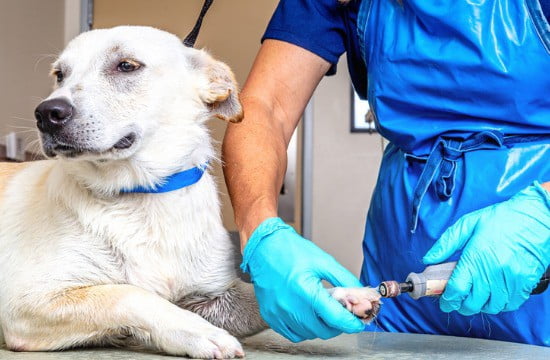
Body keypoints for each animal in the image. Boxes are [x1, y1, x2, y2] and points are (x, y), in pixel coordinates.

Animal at [0, 26, 380, 358]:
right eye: (59, 75)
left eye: (126, 65)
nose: (47, 113)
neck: (144, 196)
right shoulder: (27, 304)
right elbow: (132, 295)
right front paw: (200, 333)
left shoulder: (214, 297)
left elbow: (262, 295)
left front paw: (335, 294)